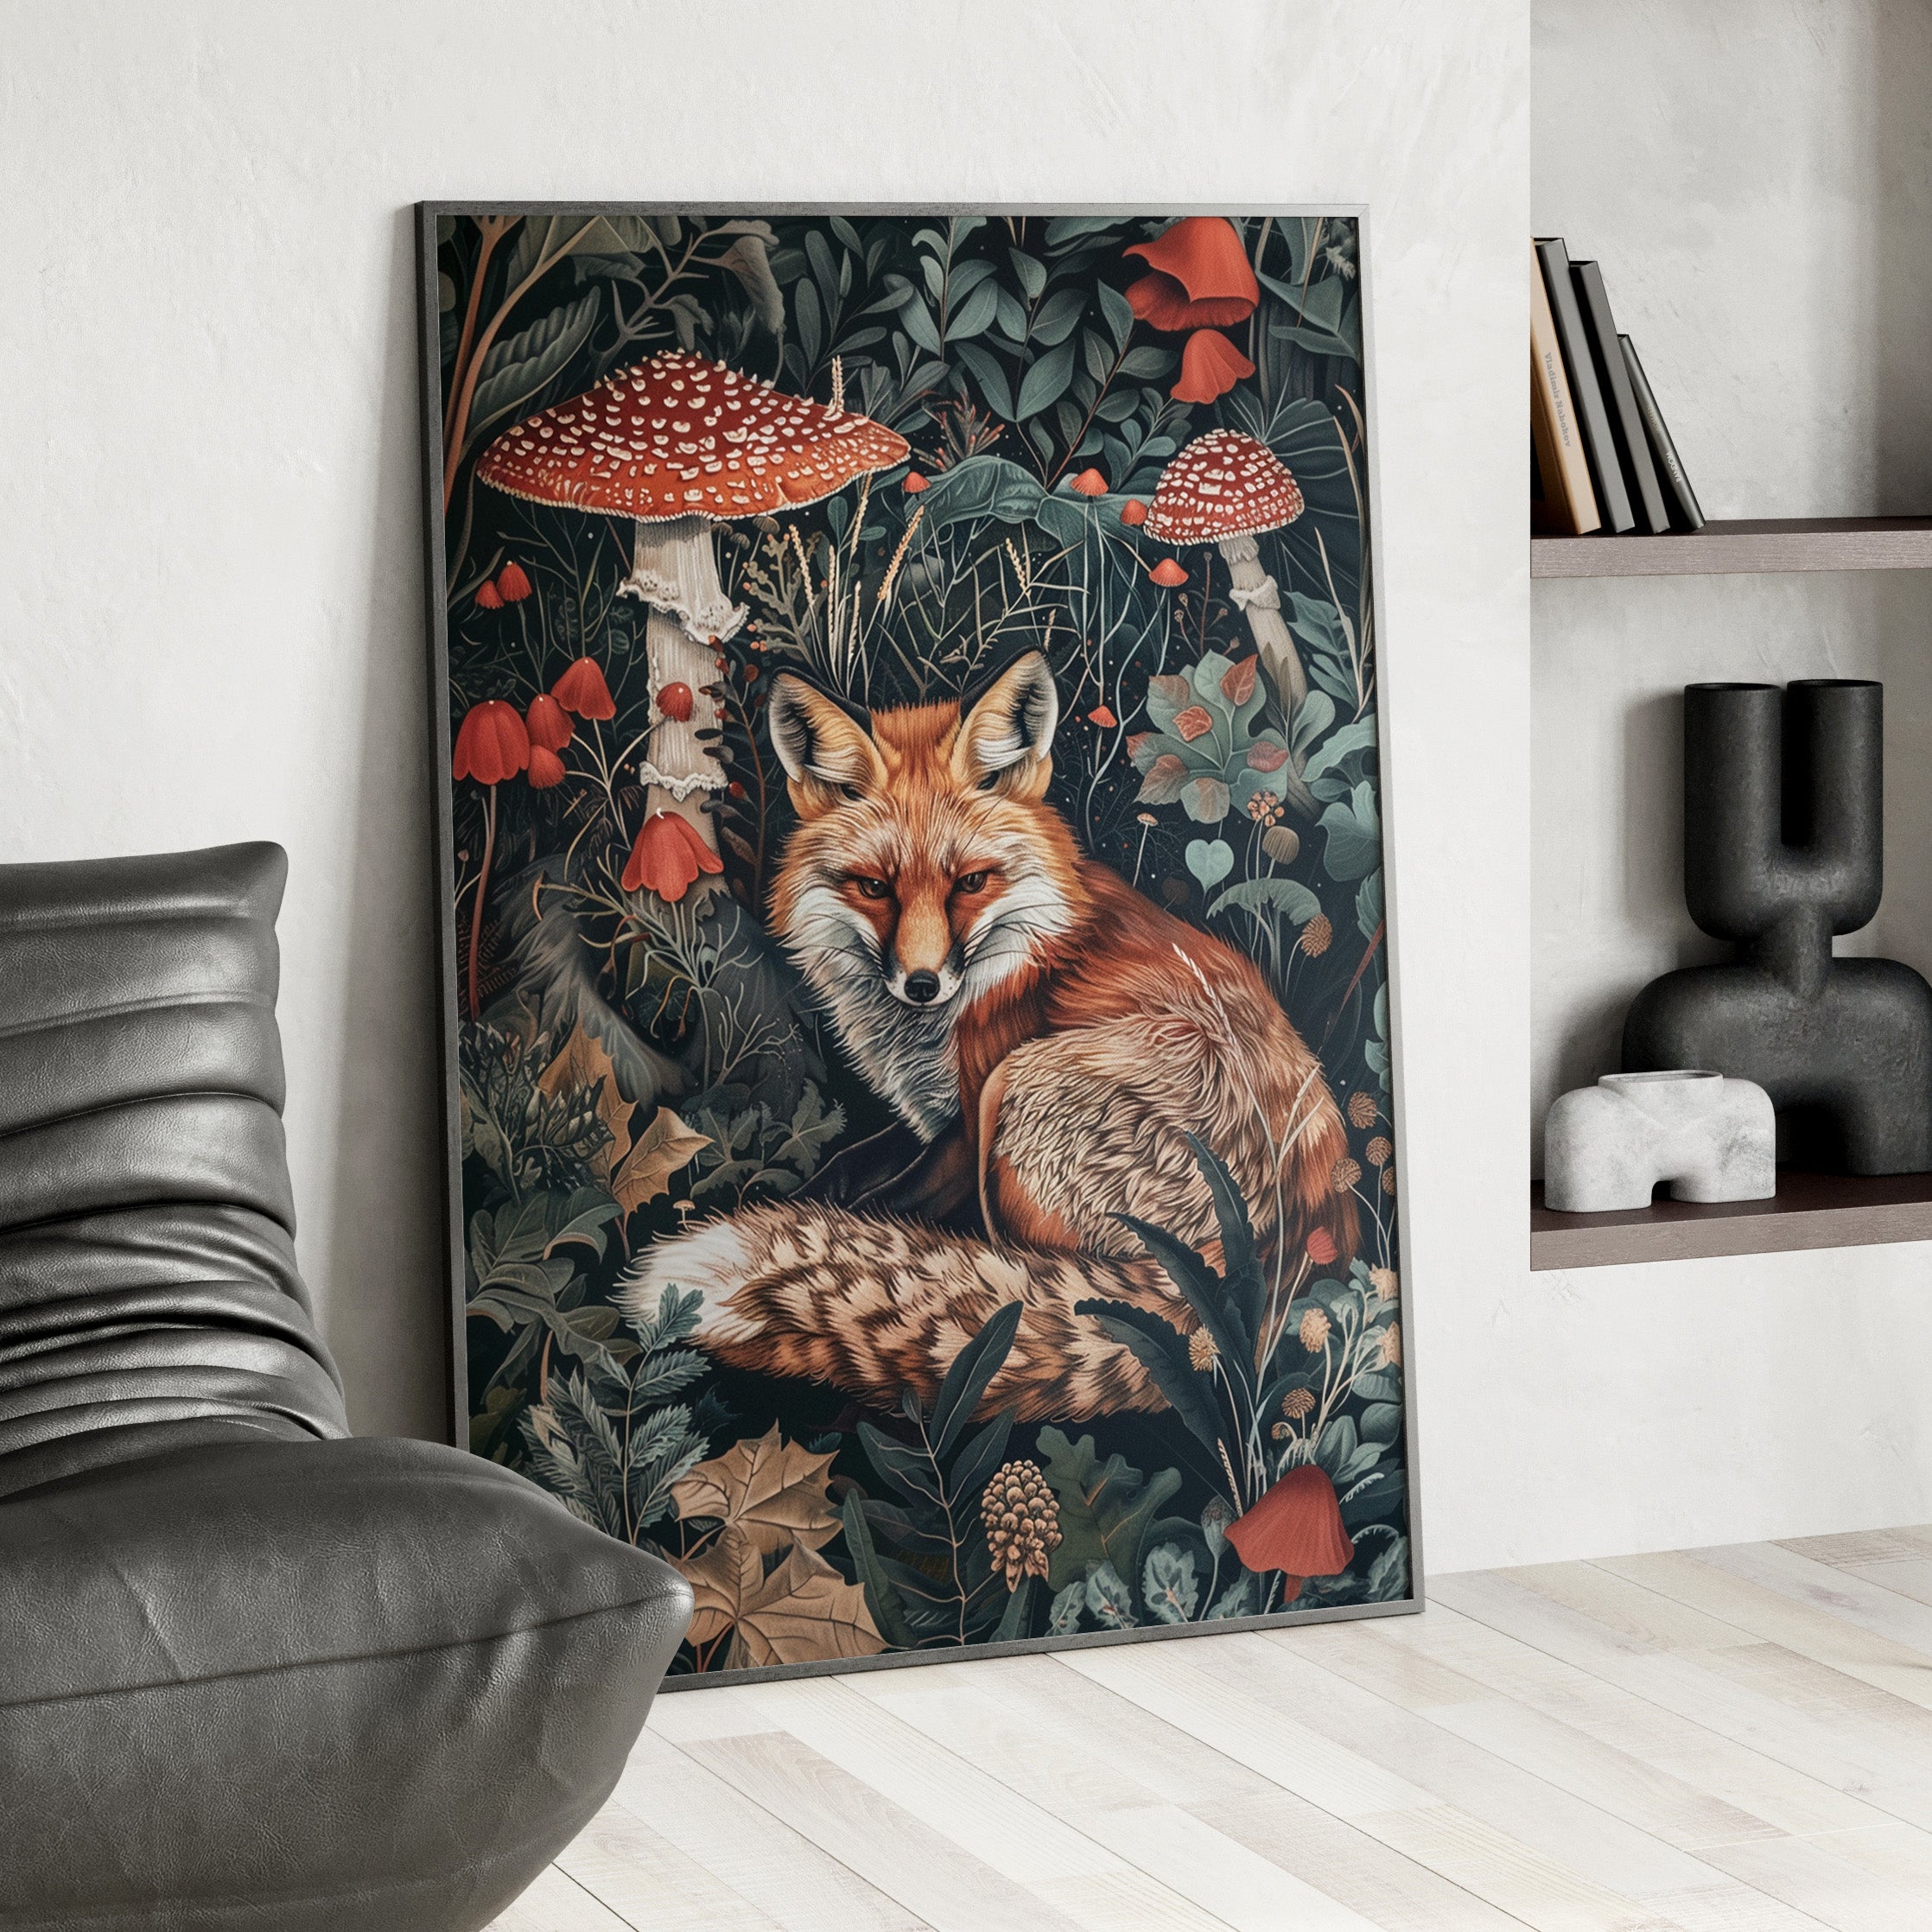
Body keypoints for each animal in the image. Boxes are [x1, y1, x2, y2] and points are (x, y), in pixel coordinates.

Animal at [623, 650, 1359, 1421]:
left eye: (971, 882)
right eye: (875, 887)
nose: (921, 983)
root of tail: (1273, 1272)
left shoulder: (967, 1125)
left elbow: (882, 1206)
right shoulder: (928, 1116)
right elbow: (841, 1174)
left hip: (1026, 1081)